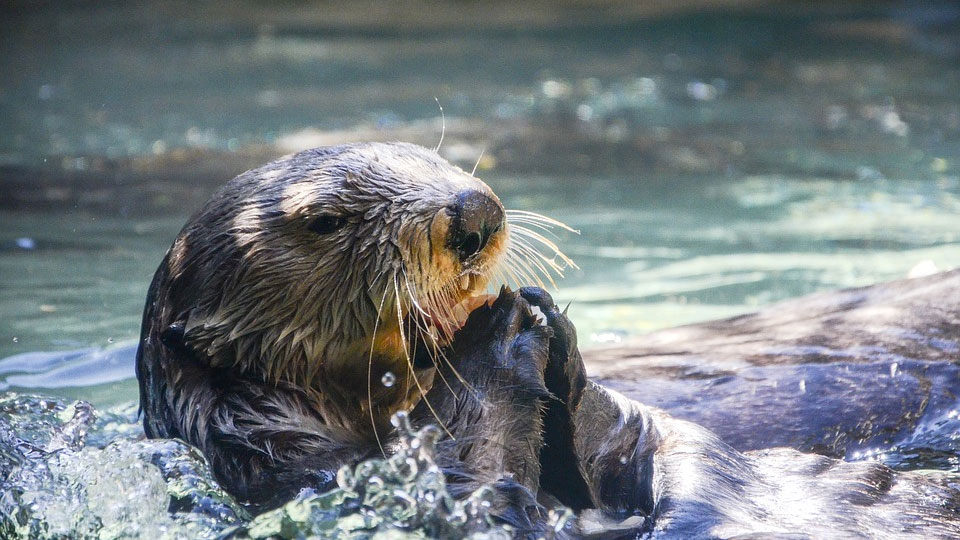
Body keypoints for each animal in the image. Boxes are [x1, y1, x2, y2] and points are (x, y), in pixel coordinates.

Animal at [139, 141, 960, 536]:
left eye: (432, 157)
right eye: (324, 220)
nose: (474, 209)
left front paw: (548, 329)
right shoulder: (302, 474)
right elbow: (485, 501)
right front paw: (494, 341)